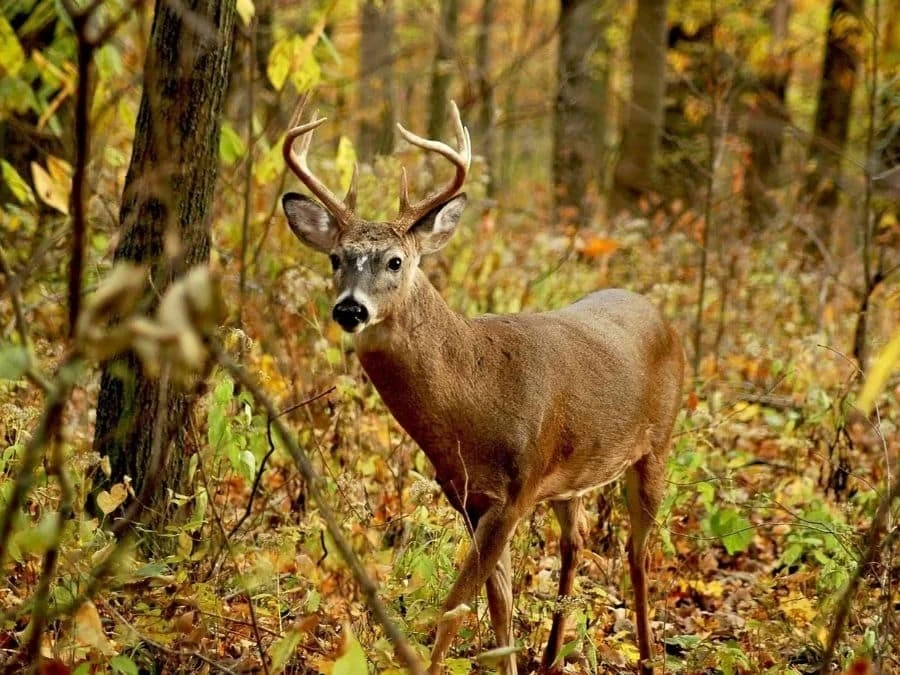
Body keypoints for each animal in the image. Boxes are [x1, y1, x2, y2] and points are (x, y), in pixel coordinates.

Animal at [280, 96, 684, 675]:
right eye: (336, 258)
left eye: (395, 261)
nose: (350, 309)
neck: (474, 403)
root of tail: (663, 318)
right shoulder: (469, 496)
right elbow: (500, 608)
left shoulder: (516, 491)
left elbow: (455, 606)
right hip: (572, 474)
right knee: (578, 542)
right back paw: (551, 657)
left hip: (657, 443)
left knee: (637, 552)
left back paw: (650, 657)